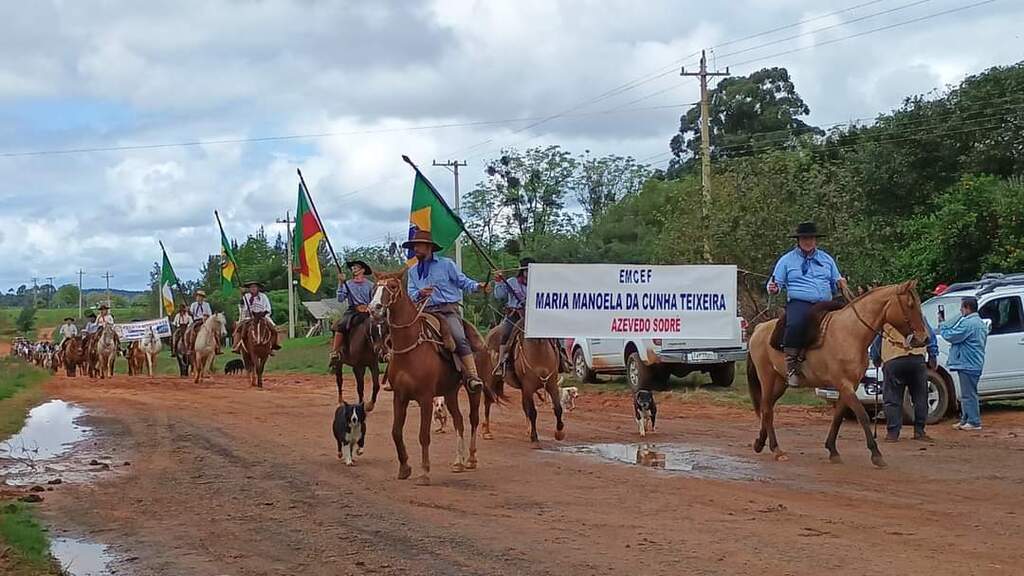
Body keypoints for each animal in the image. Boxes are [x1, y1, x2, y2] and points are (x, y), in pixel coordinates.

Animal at [368, 270, 503, 481]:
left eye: (392, 286)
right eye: (374, 288)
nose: (374, 308)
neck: (410, 348)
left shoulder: (425, 398)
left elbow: (424, 434)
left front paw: (424, 471)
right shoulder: (400, 396)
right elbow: (396, 432)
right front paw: (404, 468)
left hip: (474, 391)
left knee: (473, 419)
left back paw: (471, 458)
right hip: (450, 393)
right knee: (459, 421)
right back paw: (458, 462)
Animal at [749, 278, 933, 467]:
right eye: (910, 304)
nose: (924, 338)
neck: (850, 334)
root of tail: (759, 328)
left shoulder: (850, 385)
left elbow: (838, 417)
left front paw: (832, 450)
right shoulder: (844, 384)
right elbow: (862, 416)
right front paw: (876, 454)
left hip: (780, 382)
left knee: (767, 408)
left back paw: (760, 443)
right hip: (767, 377)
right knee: (767, 409)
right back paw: (776, 449)